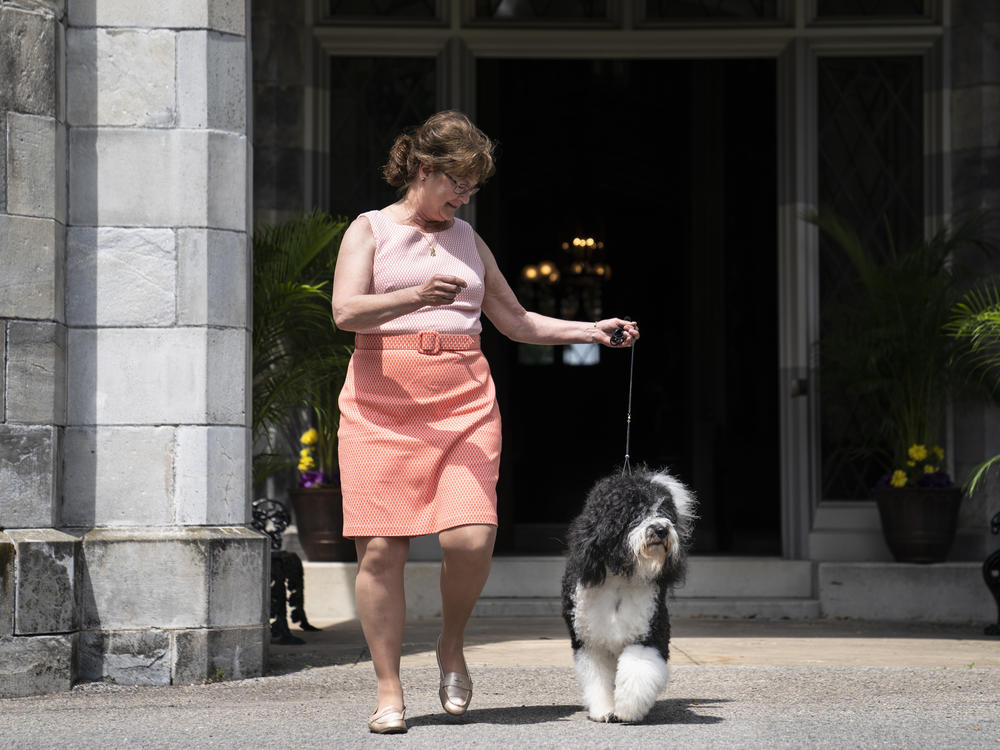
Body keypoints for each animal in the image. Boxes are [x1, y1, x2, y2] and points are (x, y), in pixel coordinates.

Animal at [560, 470, 700, 724]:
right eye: (635, 512)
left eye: (666, 513)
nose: (661, 529)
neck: (620, 580)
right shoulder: (590, 642)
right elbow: (598, 679)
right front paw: (604, 710)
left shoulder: (649, 634)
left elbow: (637, 672)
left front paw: (627, 709)